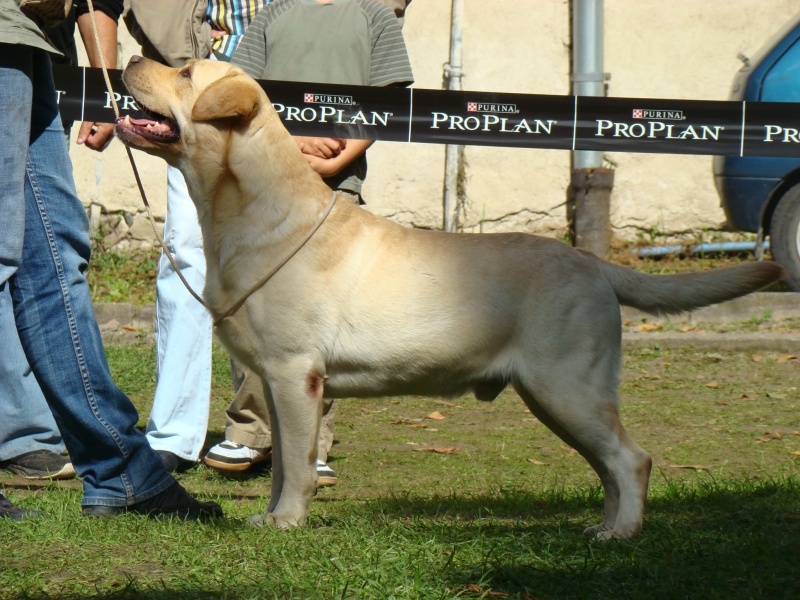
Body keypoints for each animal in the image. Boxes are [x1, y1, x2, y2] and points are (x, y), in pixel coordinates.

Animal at [119, 56, 788, 540]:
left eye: (184, 72)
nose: (128, 58)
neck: (250, 209)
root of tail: (593, 263)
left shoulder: (292, 374)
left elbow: (298, 466)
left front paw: (285, 522)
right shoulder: (281, 383)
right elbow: (285, 458)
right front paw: (274, 515)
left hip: (566, 387)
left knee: (632, 459)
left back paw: (620, 535)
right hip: (556, 398)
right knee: (611, 465)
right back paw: (603, 526)